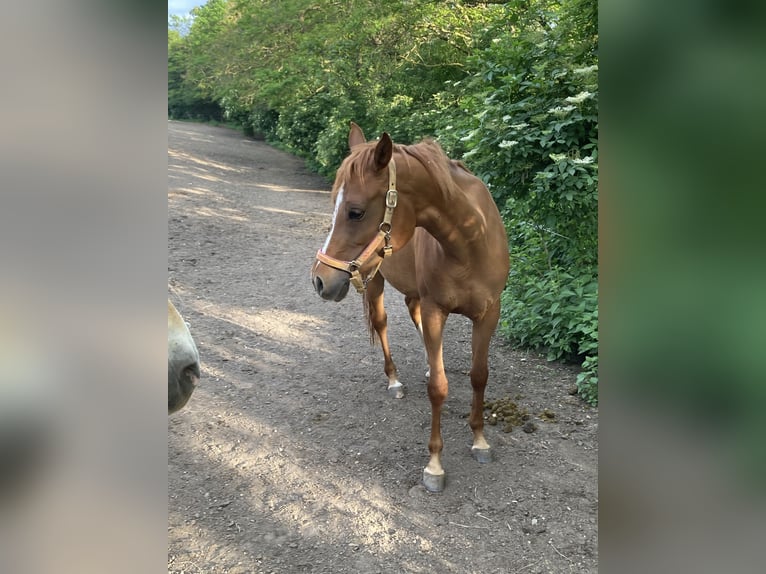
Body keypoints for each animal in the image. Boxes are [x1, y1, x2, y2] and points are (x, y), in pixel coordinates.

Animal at [312, 124, 510, 492]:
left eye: (355, 211)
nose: (319, 280)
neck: (470, 243)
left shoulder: (489, 313)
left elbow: (479, 376)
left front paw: (480, 441)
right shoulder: (435, 310)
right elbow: (439, 389)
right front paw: (434, 465)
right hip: (375, 279)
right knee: (382, 322)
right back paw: (394, 381)